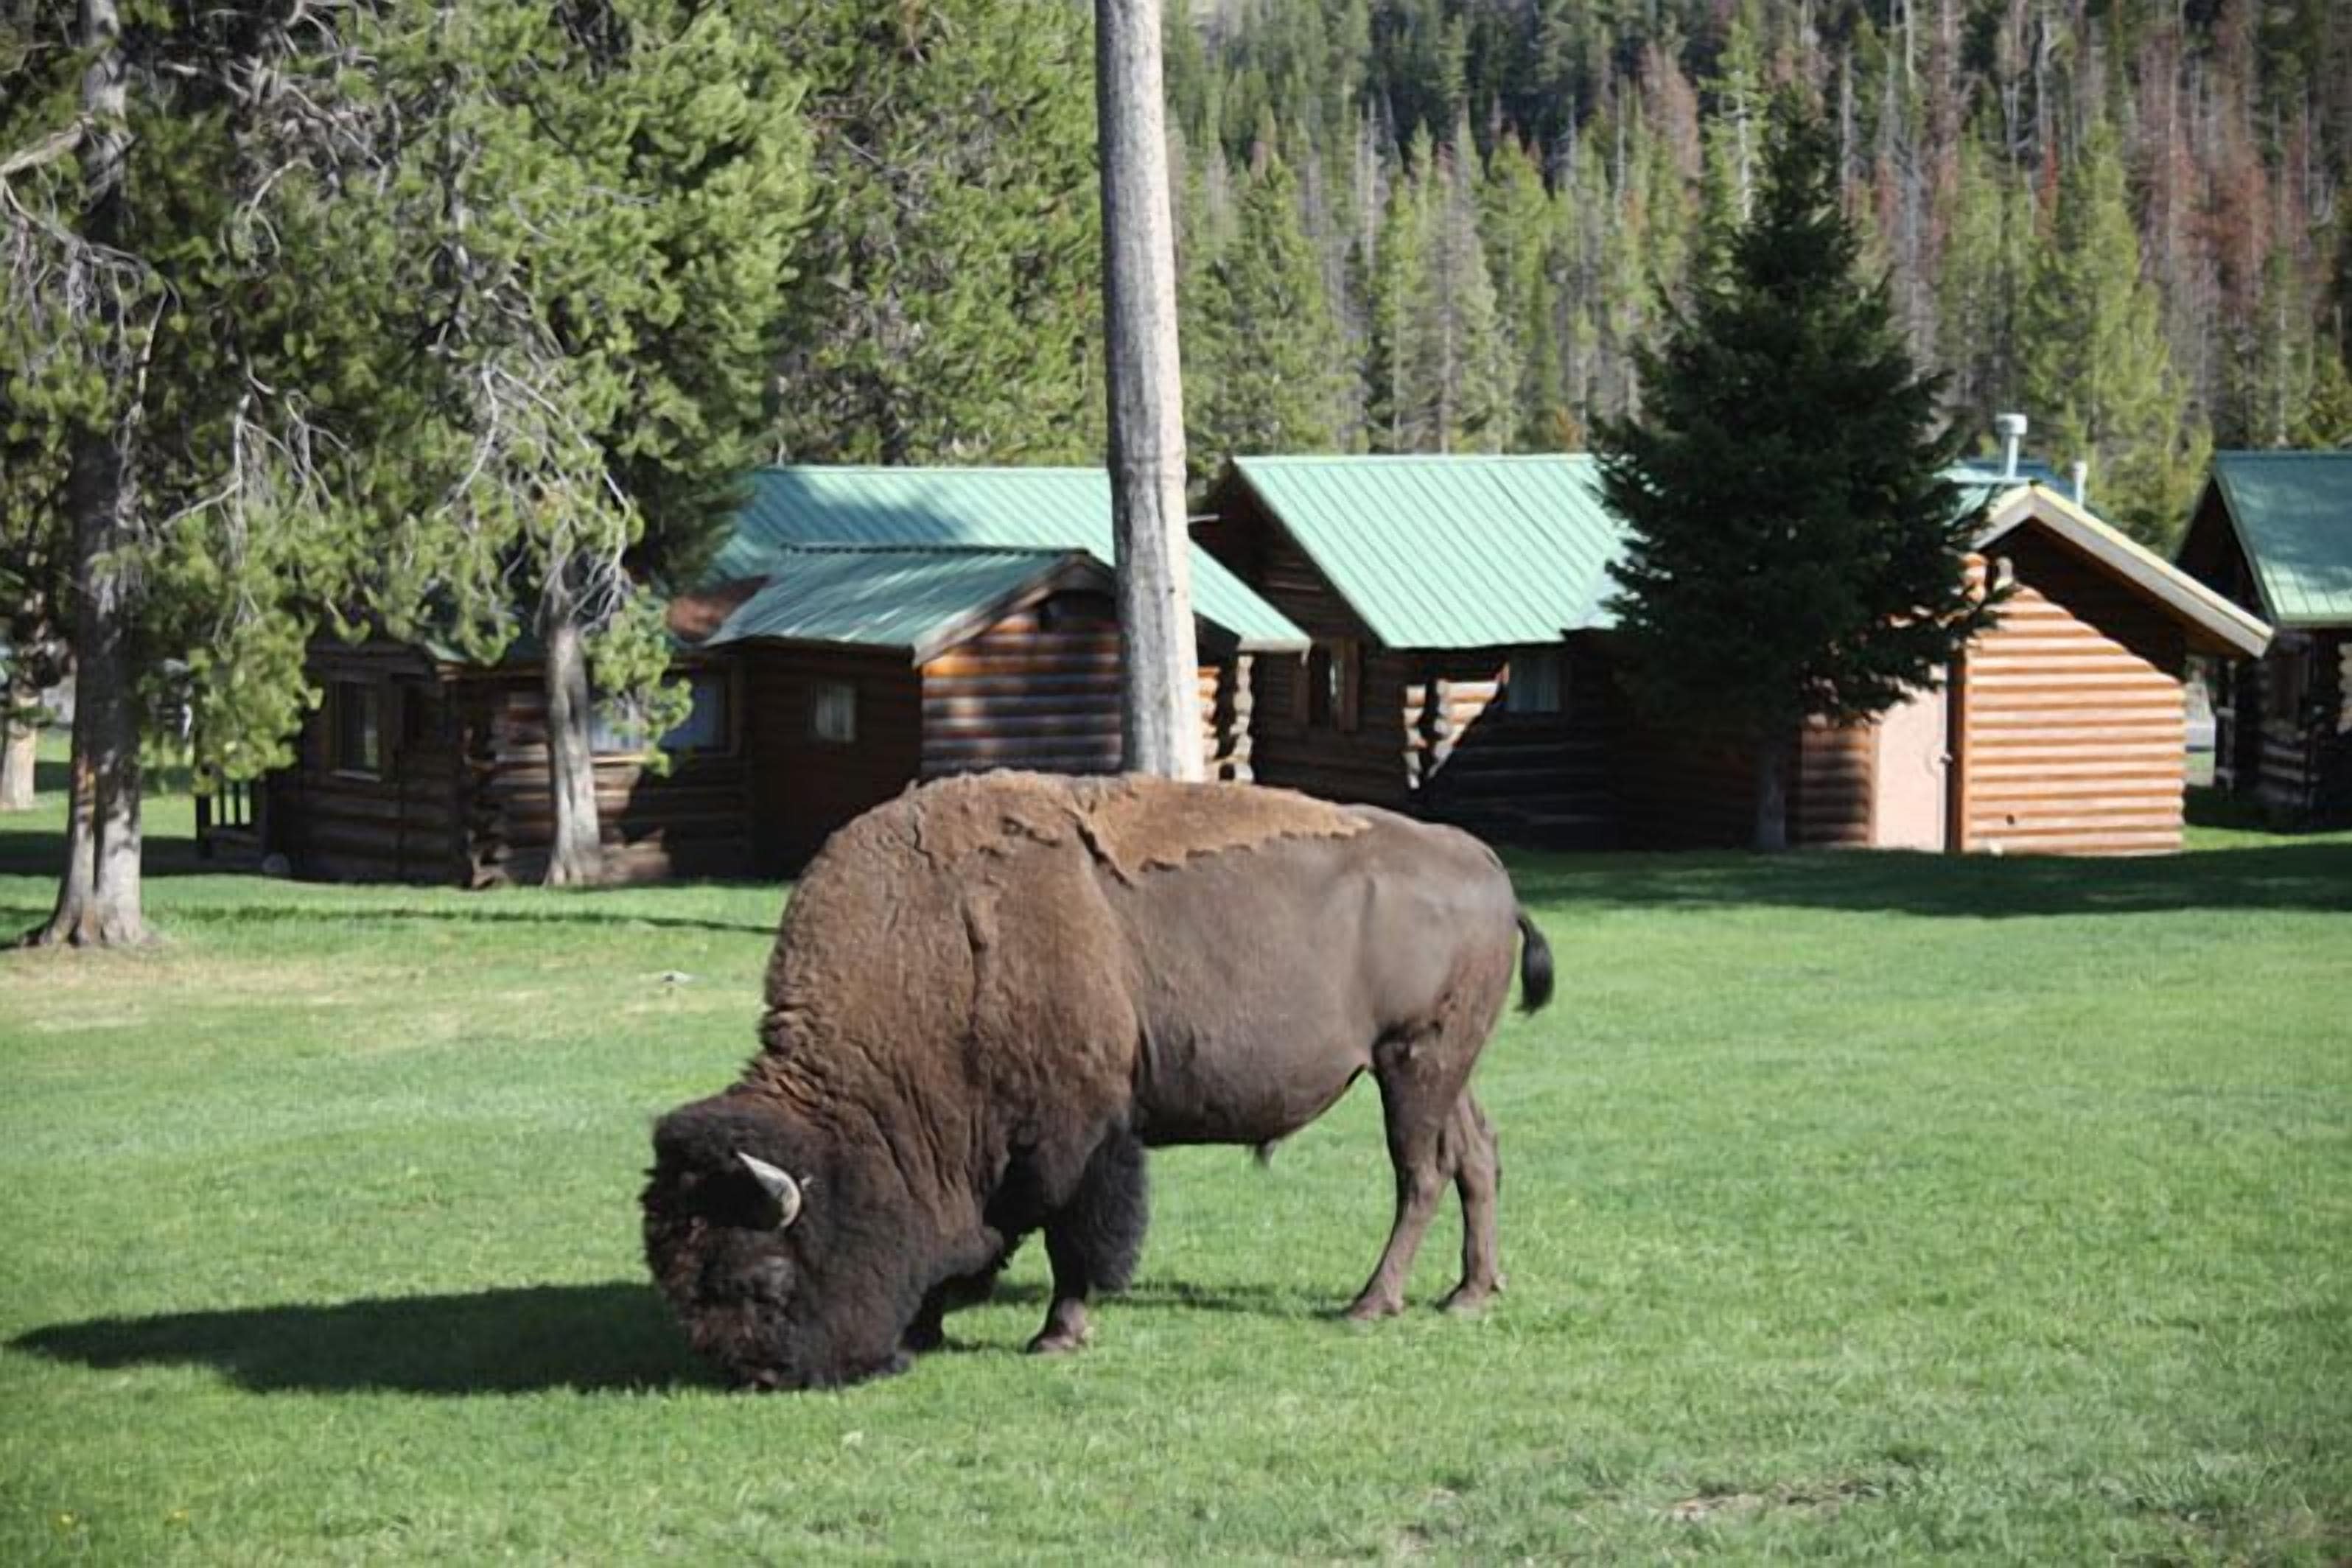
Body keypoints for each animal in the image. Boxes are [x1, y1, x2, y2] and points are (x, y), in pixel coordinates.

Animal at [642, 771, 1552, 1389]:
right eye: (676, 1281)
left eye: (762, 1277)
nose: (762, 1375)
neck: (939, 954)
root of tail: (1483, 864)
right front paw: (933, 1321)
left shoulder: (1075, 1136)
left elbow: (1068, 1235)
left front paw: (1056, 1334)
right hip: (1439, 1068)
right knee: (1477, 1157)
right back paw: (1471, 1292)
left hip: (1412, 1064)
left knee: (1420, 1173)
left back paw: (1372, 1302)